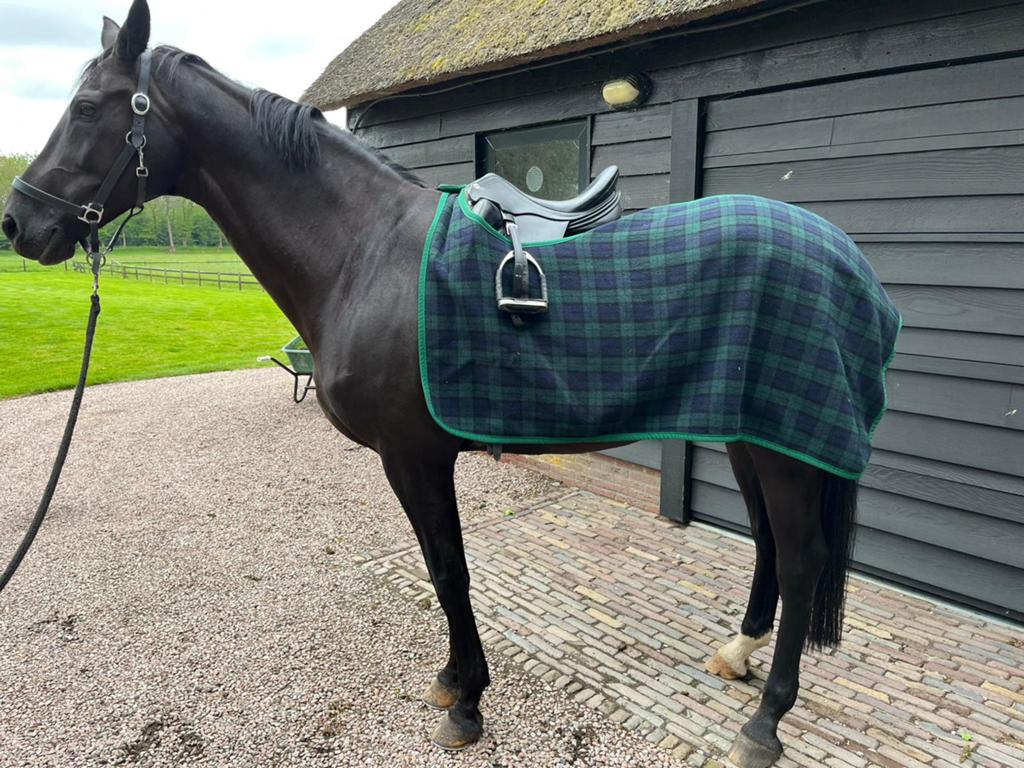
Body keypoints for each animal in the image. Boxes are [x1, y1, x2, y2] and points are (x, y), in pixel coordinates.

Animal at [1, 2, 893, 766]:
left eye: (88, 107)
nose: (19, 223)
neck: (361, 250)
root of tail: (843, 256)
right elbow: (445, 570)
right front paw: (454, 684)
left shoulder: (415, 455)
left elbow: (448, 571)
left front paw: (467, 702)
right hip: (752, 431)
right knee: (771, 544)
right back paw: (738, 652)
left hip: (782, 445)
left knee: (804, 558)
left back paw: (765, 724)